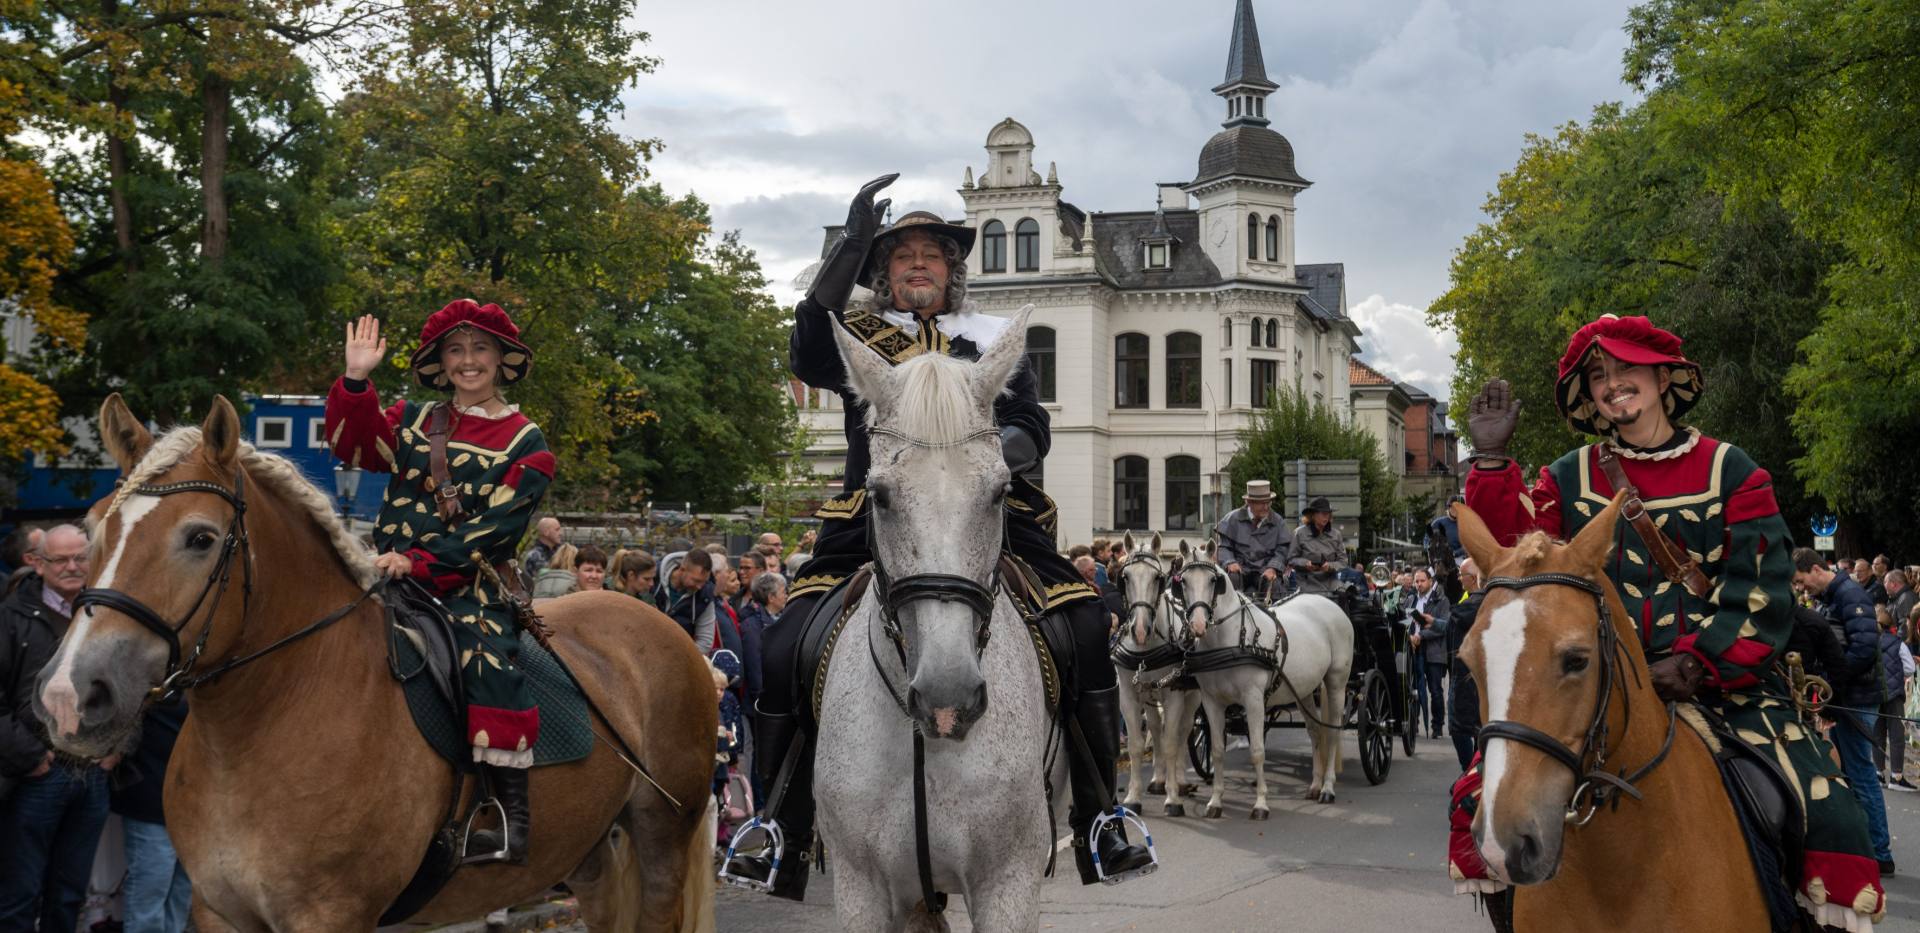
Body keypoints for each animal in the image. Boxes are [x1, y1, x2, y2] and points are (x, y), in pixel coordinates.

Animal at [30, 395, 721, 933]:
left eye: (200, 538)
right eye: (91, 528)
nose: (69, 695)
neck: (268, 720)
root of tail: (664, 625)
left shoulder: (332, 915)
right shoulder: (218, 911)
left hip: (664, 832)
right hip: (589, 848)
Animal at [1105, 533, 1190, 817]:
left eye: (1156, 578)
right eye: (1125, 577)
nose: (1140, 630)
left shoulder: (1175, 693)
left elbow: (1172, 741)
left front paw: (1173, 799)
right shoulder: (1129, 695)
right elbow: (1136, 744)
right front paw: (1133, 797)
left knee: (1184, 730)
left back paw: (1180, 781)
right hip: (1150, 695)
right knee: (1154, 725)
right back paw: (1158, 779)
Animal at [1167, 537, 1351, 817]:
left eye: (1213, 581)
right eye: (1183, 581)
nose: (1198, 625)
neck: (1230, 640)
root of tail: (1330, 604)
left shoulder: (1253, 700)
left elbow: (1257, 751)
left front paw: (1261, 804)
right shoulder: (1211, 702)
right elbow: (1218, 750)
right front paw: (1215, 802)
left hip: (1337, 682)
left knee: (1333, 733)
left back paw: (1328, 788)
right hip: (1304, 689)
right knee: (1315, 731)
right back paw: (1315, 785)